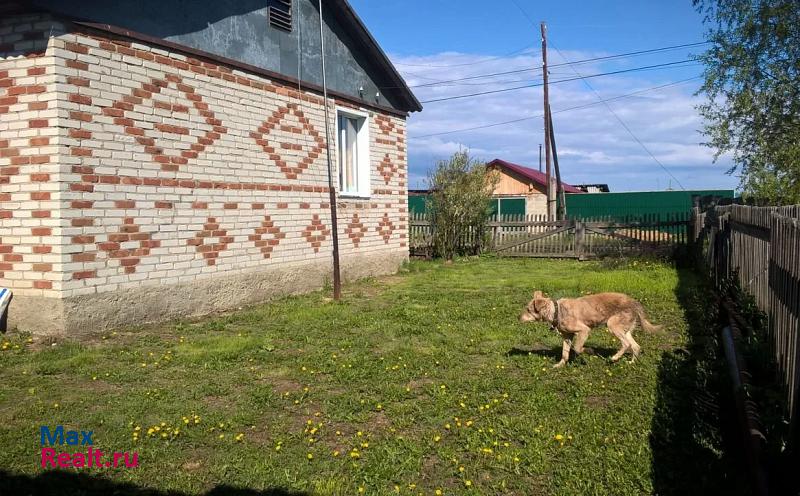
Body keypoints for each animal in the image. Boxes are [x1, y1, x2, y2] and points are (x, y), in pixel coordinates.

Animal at [520, 290, 660, 368]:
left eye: (528, 310)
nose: (518, 317)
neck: (556, 311)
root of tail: (634, 302)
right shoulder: (567, 336)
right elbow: (565, 353)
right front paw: (560, 365)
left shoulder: (584, 330)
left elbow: (577, 348)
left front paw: (589, 351)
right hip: (625, 330)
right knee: (635, 346)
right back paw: (631, 363)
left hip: (612, 325)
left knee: (626, 344)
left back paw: (614, 358)